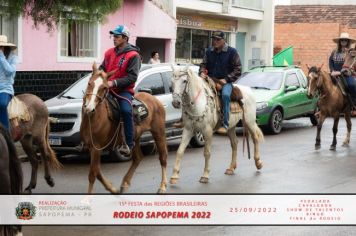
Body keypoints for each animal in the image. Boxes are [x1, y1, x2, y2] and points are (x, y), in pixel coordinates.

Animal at [80, 64, 168, 194]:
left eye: (104, 87)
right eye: (89, 83)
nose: (89, 108)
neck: (94, 117)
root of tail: (154, 99)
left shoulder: (96, 148)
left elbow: (93, 174)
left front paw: (87, 197)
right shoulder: (92, 148)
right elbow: (97, 172)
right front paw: (112, 188)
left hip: (159, 133)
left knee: (163, 157)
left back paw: (162, 186)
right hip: (135, 138)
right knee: (138, 158)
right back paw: (125, 182)